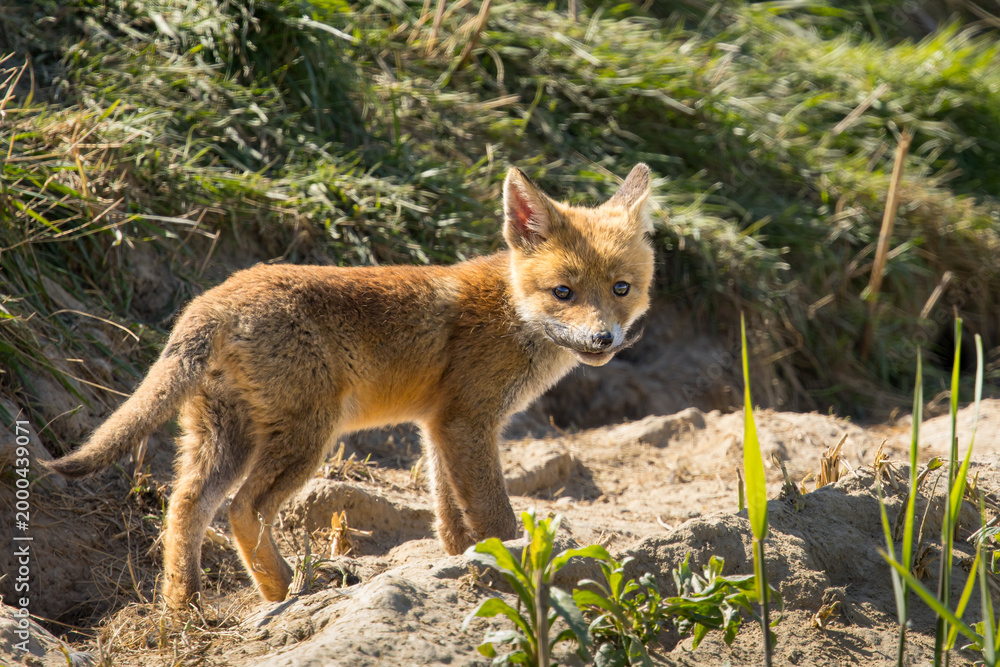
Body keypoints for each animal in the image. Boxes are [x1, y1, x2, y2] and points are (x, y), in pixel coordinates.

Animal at [43, 163, 655, 609]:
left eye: (621, 288)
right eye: (563, 292)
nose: (603, 338)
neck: (513, 312)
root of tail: (212, 299)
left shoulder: (439, 425)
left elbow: (448, 515)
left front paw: (459, 563)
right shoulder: (467, 422)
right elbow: (492, 514)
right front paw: (517, 565)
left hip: (225, 437)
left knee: (187, 505)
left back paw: (184, 607)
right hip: (309, 437)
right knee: (243, 508)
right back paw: (285, 590)